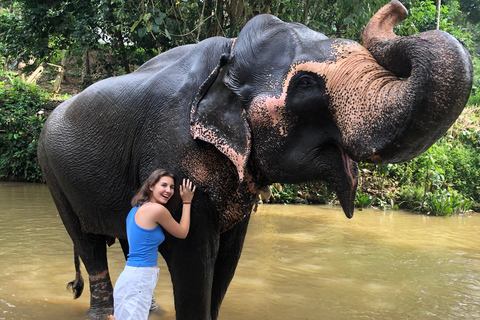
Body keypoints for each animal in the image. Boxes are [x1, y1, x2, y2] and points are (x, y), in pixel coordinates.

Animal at [37, 1, 472, 318]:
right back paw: (104, 313)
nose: (400, 9)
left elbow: (228, 258)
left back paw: (152, 309)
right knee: (89, 244)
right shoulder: (171, 146)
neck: (229, 54)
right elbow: (192, 255)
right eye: (306, 84)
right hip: (53, 175)